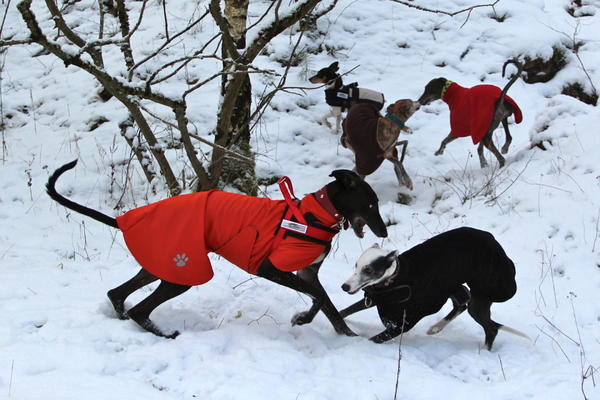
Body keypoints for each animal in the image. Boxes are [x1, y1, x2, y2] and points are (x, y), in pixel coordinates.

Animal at [340, 228, 528, 350]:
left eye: (368, 270)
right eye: (356, 265)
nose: (344, 286)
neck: (395, 278)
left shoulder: (405, 322)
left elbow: (374, 339)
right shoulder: (376, 297)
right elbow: (344, 311)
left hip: (480, 296)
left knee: (491, 328)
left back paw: (484, 351)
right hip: (451, 284)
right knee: (463, 301)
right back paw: (437, 327)